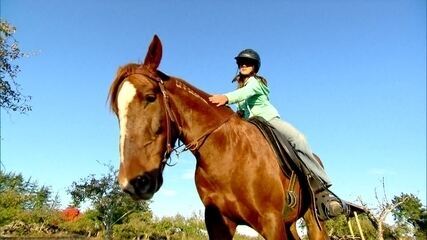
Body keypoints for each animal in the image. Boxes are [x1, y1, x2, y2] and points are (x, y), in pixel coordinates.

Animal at [108, 34, 330, 239]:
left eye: (150, 97)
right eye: (117, 111)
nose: (132, 182)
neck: (227, 152)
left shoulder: (272, 222)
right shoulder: (218, 222)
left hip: (313, 221)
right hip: (289, 224)